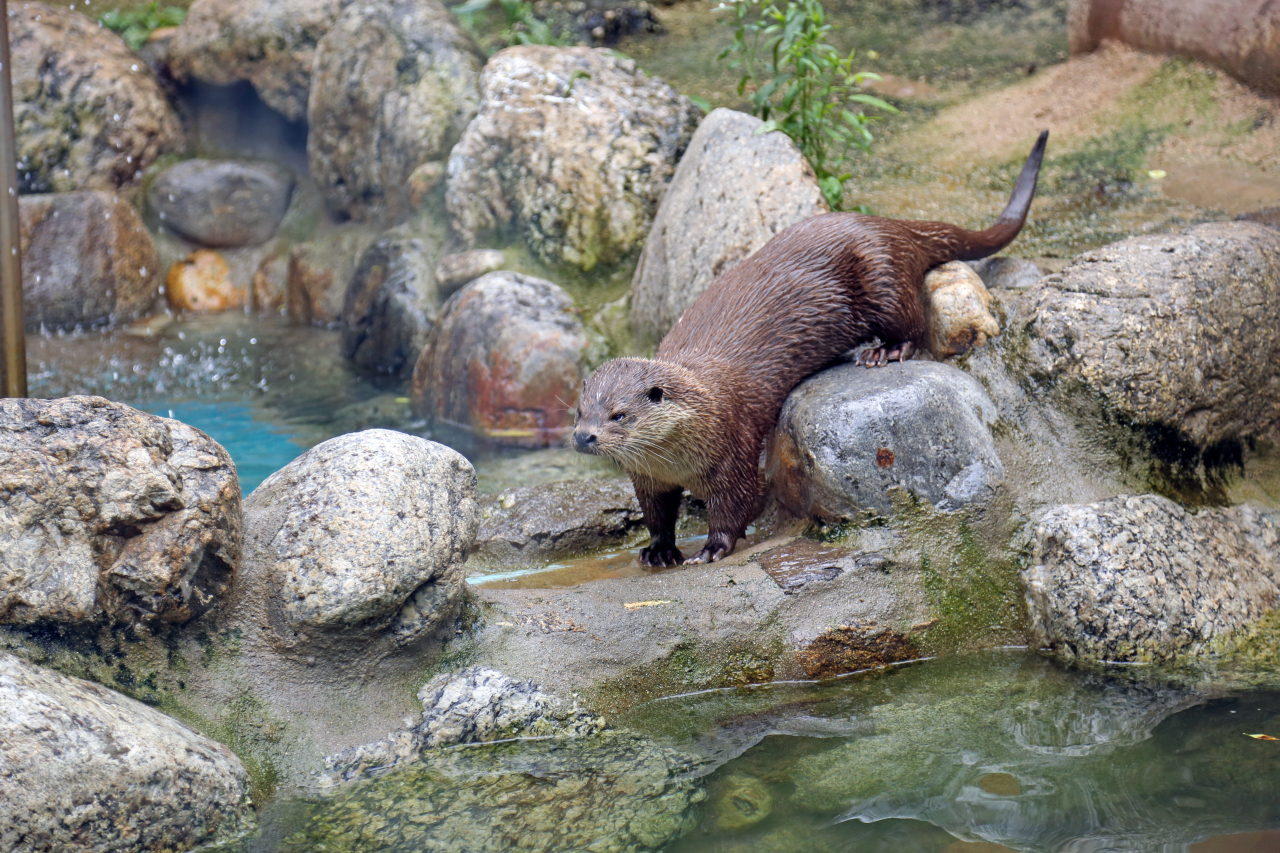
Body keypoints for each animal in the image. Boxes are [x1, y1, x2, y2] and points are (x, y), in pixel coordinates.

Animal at [576, 131, 1044, 563]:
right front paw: (659, 549)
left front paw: (711, 548)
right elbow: (656, 516)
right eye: (580, 412)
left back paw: (884, 352)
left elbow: (738, 506)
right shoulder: (648, 479)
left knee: (911, 319)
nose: (583, 437)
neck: (682, 454)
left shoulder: (733, 448)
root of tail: (887, 224)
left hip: (881, 277)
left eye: (619, 414)